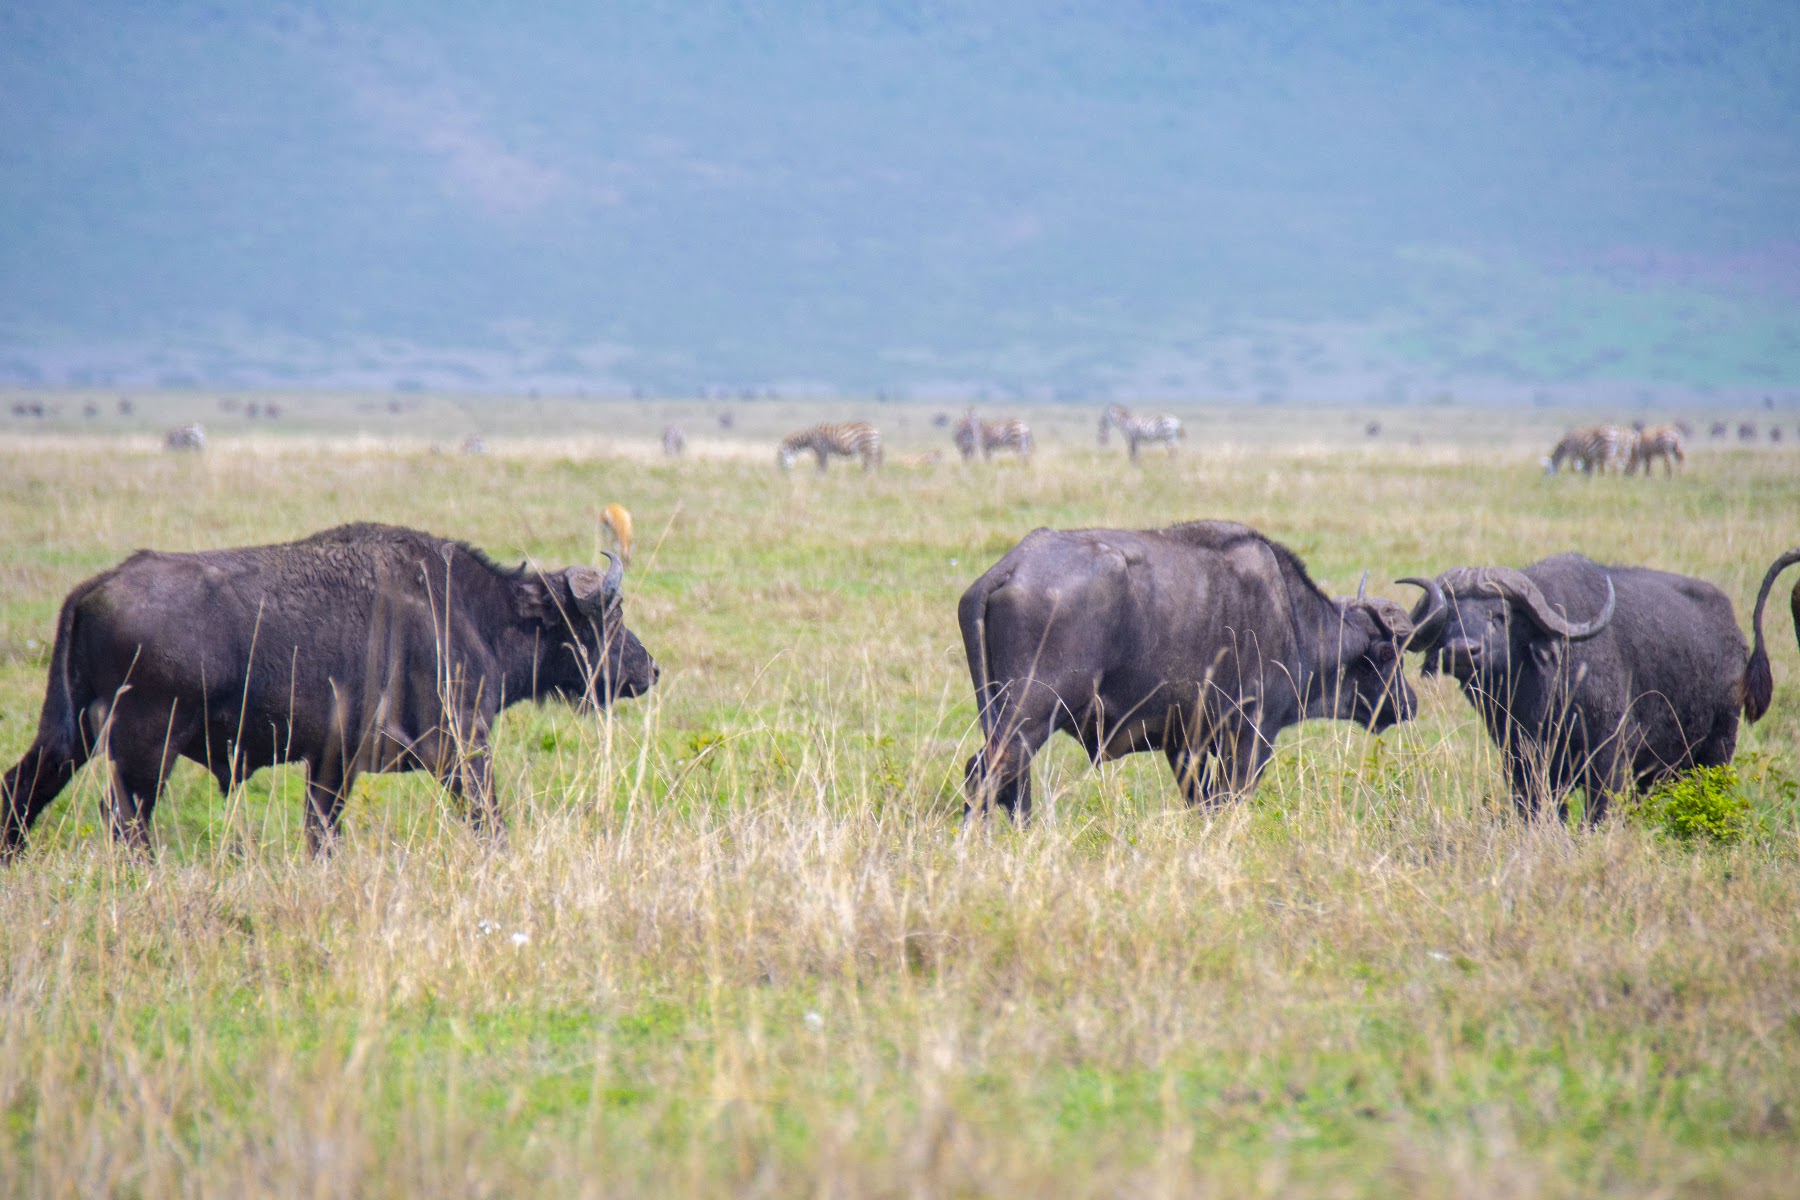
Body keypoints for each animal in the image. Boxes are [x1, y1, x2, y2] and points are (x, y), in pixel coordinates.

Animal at [2, 523, 658, 857]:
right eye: (611, 616)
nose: (649, 670)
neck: (468, 611)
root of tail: (97, 586)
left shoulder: (331, 764)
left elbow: (321, 832)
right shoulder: (459, 749)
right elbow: (488, 819)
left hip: (68, 741)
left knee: (22, 791)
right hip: (143, 752)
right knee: (125, 821)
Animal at [959, 520, 1419, 817]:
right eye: (1388, 655)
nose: (1409, 703)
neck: (1291, 616)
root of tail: (1013, 567)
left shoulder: (1185, 744)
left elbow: (1201, 801)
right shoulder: (1251, 735)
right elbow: (1228, 800)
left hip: (1003, 717)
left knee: (1007, 784)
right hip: (1030, 717)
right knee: (987, 775)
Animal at [1403, 550, 1796, 823]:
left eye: (1500, 616)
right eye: (1449, 616)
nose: (1461, 651)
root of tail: (1734, 633)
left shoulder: (1609, 756)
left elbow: (1599, 812)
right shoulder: (1521, 761)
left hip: (1717, 748)